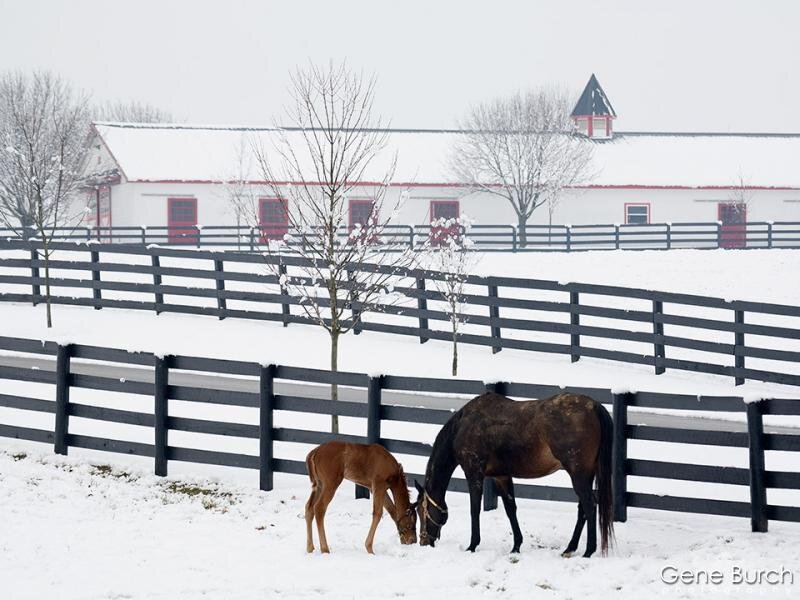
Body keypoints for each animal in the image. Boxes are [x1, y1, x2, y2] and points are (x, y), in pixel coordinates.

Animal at [414, 391, 614, 557]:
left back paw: (588, 551)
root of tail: (593, 406)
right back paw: (570, 548)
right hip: (586, 474)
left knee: (589, 505)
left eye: (420, 510)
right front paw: (516, 545)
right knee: (582, 509)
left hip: (578, 474)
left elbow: (474, 510)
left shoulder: (474, 473)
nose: (423, 541)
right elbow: (511, 509)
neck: (463, 426)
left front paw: (472, 545)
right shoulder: (501, 476)